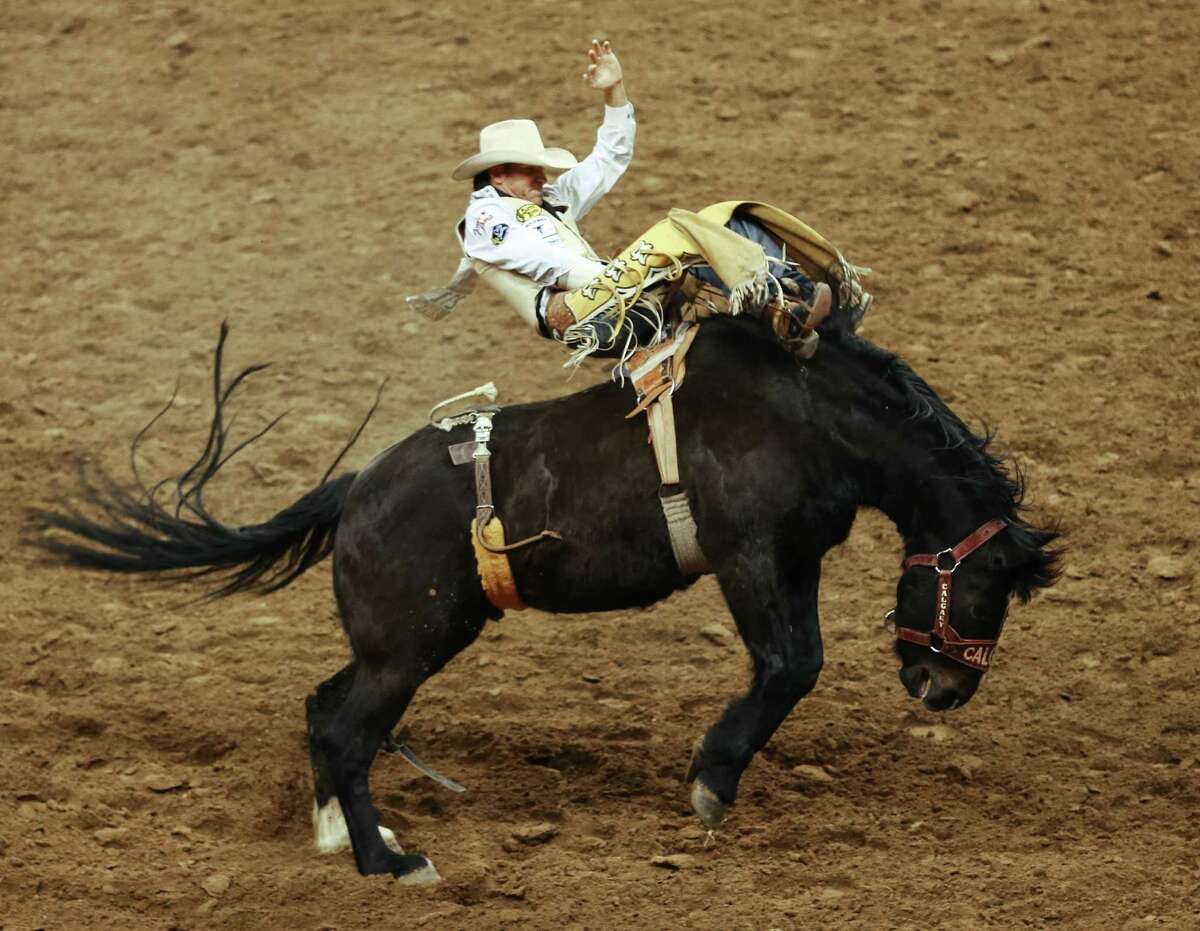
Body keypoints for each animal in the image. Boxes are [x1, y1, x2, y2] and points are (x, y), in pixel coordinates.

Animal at [32, 311, 1060, 878]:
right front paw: (710, 783)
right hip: (411, 646)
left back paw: (336, 835)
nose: (945, 689)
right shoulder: (749, 556)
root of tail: (353, 490)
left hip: (399, 642)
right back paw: (389, 862)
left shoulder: (795, 560)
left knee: (324, 707)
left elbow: (793, 662)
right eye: (985, 581)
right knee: (347, 729)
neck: (806, 414)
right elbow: (790, 663)